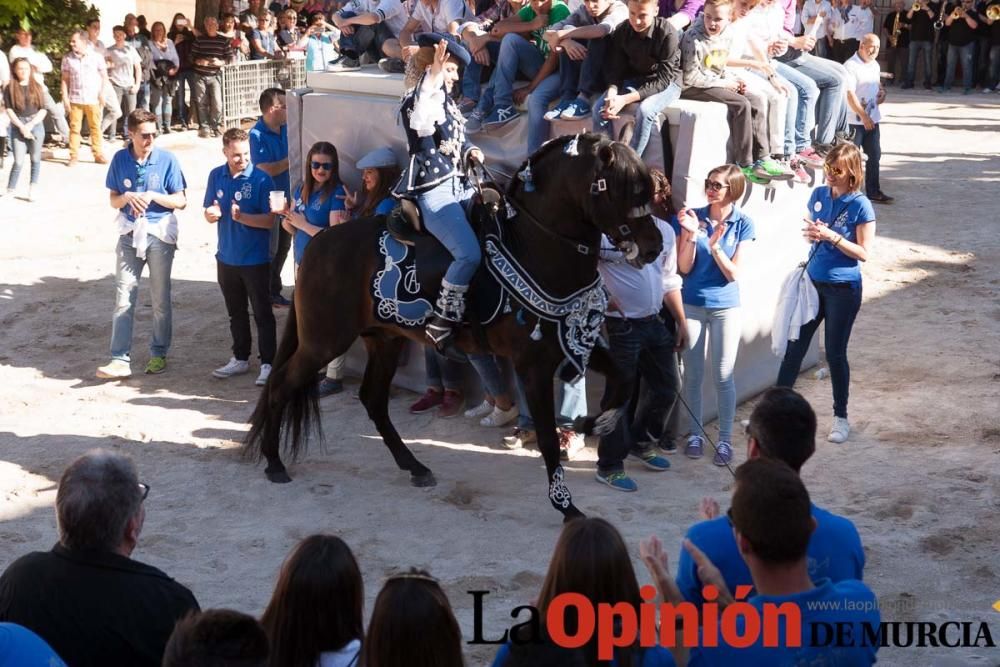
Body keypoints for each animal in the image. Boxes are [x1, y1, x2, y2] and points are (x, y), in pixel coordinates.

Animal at [243, 134, 664, 520]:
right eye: (622, 190)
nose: (654, 247)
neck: (536, 246)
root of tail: (316, 243)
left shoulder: (573, 343)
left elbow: (624, 379)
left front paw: (596, 421)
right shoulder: (534, 364)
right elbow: (545, 437)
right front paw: (566, 506)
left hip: (384, 339)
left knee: (373, 400)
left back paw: (415, 467)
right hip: (324, 341)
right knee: (281, 385)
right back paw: (274, 463)